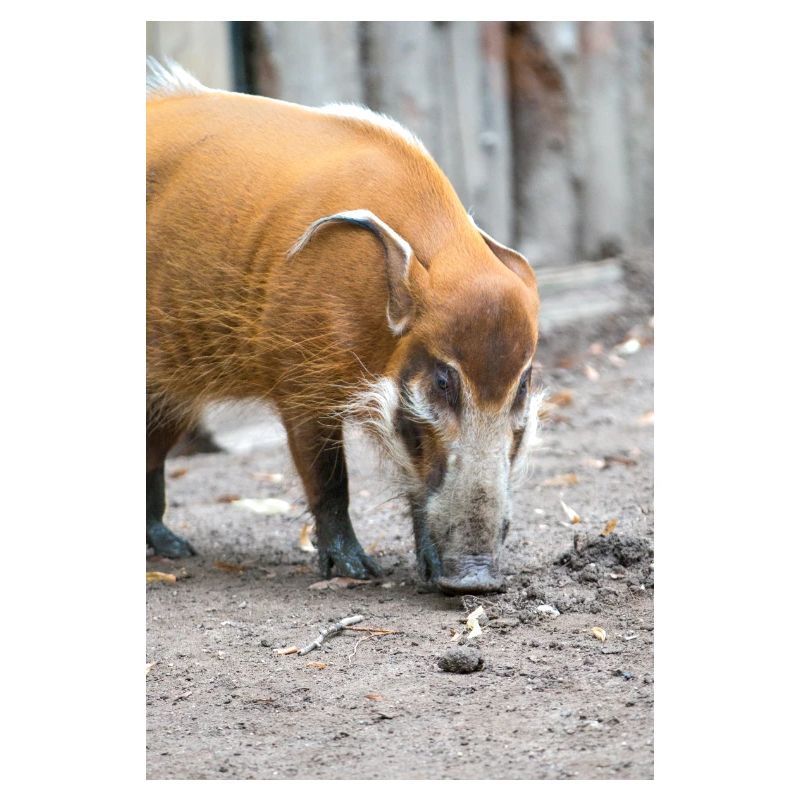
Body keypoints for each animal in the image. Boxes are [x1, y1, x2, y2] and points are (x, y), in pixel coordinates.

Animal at [146, 59, 541, 593]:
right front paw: (357, 571)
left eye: (522, 385)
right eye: (443, 380)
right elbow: (329, 480)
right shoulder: (300, 383)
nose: (475, 578)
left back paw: (174, 547)